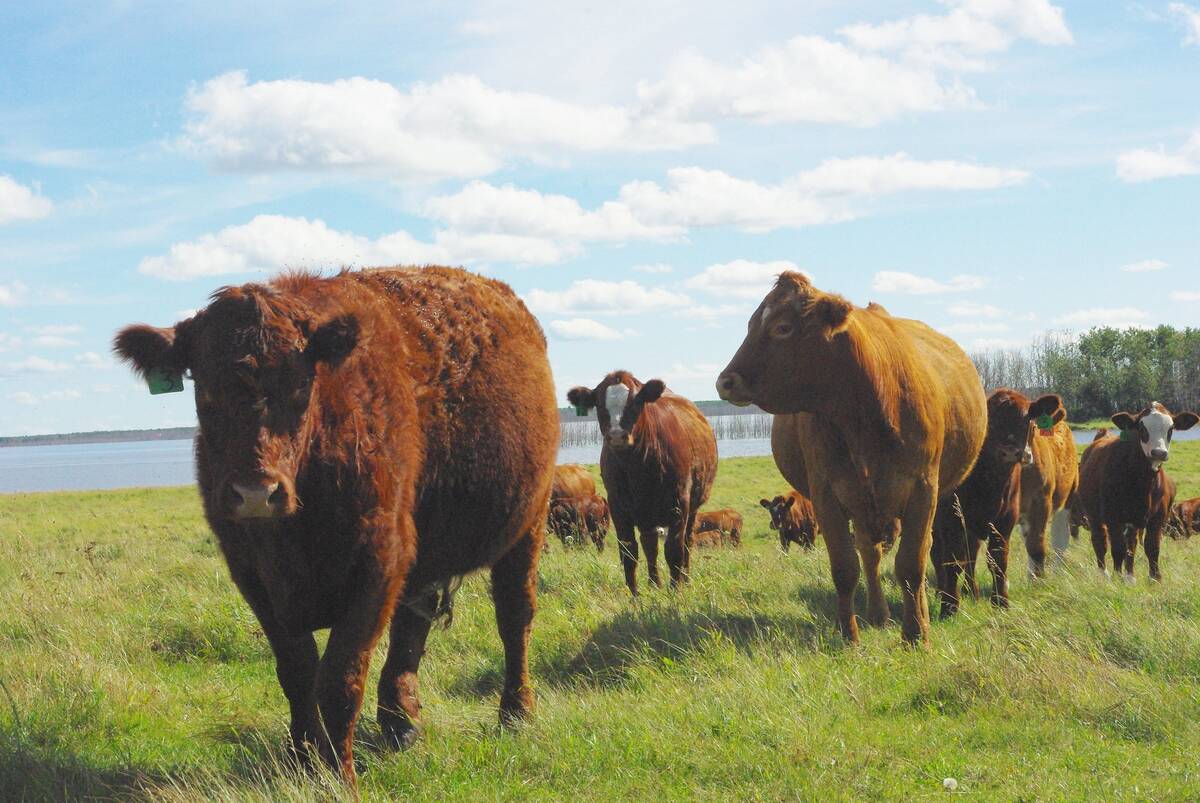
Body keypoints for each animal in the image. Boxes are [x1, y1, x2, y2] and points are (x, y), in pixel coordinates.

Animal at [113, 267, 558, 785]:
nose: (255, 493)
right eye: (205, 389)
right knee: (413, 625)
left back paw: (516, 713)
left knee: (514, 616)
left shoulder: (377, 562)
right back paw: (402, 725)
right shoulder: (251, 573)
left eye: (300, 388)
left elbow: (340, 678)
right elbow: (297, 671)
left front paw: (339, 775)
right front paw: (302, 761)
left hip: (528, 522)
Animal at [566, 372, 717, 594]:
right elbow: (629, 552)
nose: (617, 436)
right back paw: (654, 584)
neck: (637, 468)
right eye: (599, 405)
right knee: (650, 545)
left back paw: (685, 580)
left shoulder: (679, 504)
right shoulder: (618, 506)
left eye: (636, 402)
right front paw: (635, 595)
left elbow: (674, 551)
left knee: (686, 542)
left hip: (693, 507)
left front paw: (676, 591)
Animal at [716, 272, 986, 644]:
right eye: (751, 324)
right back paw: (877, 615)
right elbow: (845, 567)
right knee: (869, 553)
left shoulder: (923, 489)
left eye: (783, 327)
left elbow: (911, 564)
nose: (725, 382)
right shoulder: (827, 493)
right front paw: (850, 637)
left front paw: (916, 635)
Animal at [931, 389, 1065, 616]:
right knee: (938, 554)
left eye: (1028, 420)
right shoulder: (951, 518)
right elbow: (953, 560)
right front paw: (949, 607)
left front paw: (1001, 601)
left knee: (970, 555)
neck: (989, 483)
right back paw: (943, 592)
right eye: (991, 422)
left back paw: (972, 593)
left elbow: (997, 559)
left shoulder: (1005, 519)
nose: (1011, 451)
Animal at [1077, 402, 1198, 582]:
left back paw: (1130, 575)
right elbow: (1118, 548)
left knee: (1131, 544)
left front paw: (1154, 578)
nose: (1159, 452)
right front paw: (1117, 576)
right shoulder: (1113, 517)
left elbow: (1152, 547)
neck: (1143, 483)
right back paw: (1104, 574)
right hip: (1094, 515)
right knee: (1100, 541)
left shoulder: (1157, 517)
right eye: (1142, 428)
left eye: (1170, 428)